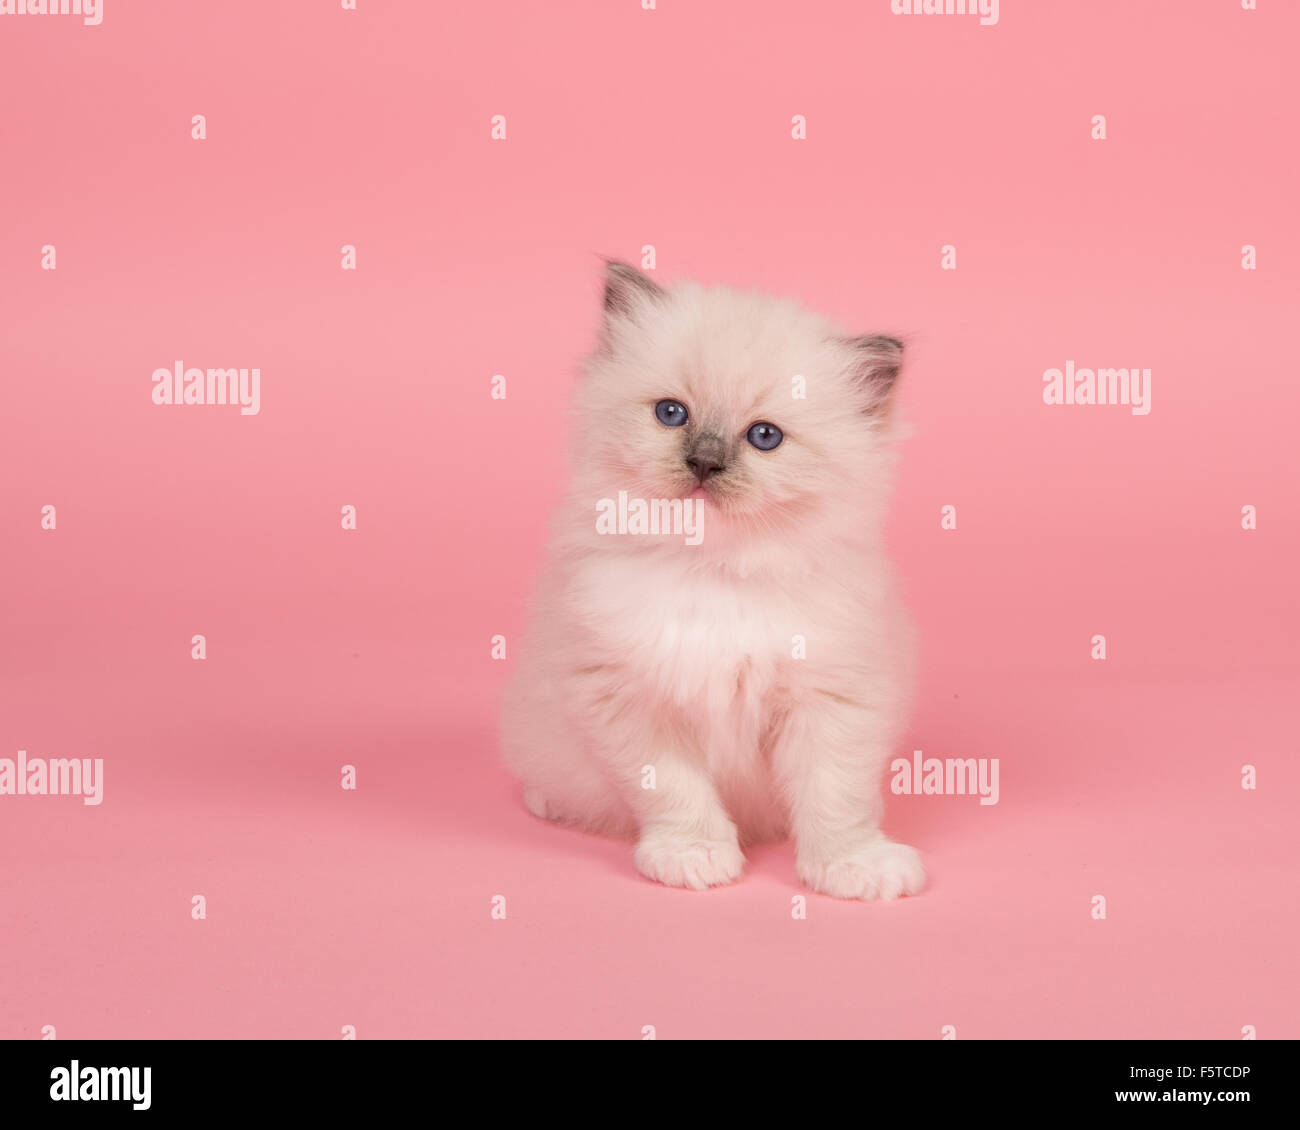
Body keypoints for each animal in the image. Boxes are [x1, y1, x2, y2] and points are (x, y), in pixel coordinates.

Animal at [499, 257, 925, 899]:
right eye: (671, 413)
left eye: (765, 437)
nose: (704, 462)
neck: (713, 570)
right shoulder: (628, 696)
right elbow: (677, 794)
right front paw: (694, 855)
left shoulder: (830, 699)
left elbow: (835, 799)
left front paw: (852, 866)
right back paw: (545, 800)